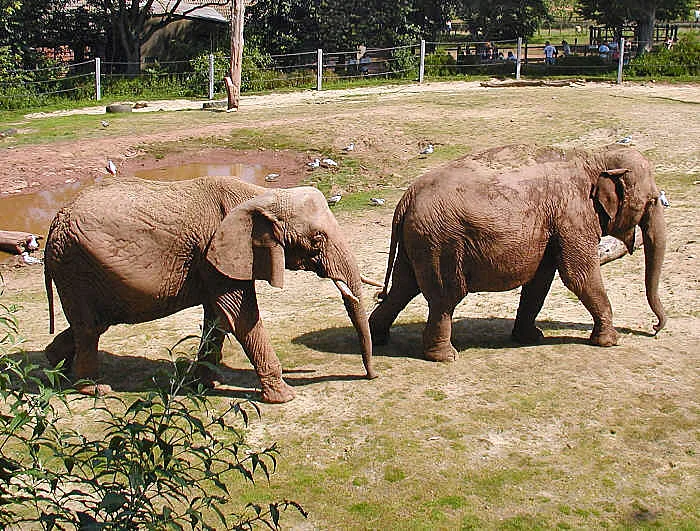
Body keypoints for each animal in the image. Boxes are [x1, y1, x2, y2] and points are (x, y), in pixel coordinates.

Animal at [44, 177, 378, 402]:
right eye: (317, 239)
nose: (371, 376)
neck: (263, 196)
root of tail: (52, 224)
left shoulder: (215, 260)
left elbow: (218, 318)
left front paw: (206, 385)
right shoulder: (214, 252)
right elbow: (240, 316)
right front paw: (283, 397)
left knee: (92, 326)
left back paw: (55, 365)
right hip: (76, 266)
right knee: (90, 328)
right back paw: (93, 388)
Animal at [369, 144, 666, 361]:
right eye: (652, 200)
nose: (654, 329)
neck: (594, 158)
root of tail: (406, 199)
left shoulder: (553, 227)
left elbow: (540, 281)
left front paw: (532, 338)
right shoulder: (572, 216)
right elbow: (578, 276)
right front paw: (610, 342)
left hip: (419, 241)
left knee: (403, 288)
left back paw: (377, 338)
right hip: (441, 242)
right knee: (444, 297)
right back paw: (445, 357)